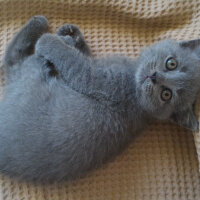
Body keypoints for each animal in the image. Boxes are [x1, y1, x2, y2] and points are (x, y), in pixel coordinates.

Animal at [0, 16, 200, 183]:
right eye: (171, 63)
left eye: (166, 94)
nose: (155, 77)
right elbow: (83, 54)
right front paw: (73, 35)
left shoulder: (97, 80)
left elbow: (70, 59)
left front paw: (54, 40)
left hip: (31, 75)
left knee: (14, 58)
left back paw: (40, 24)